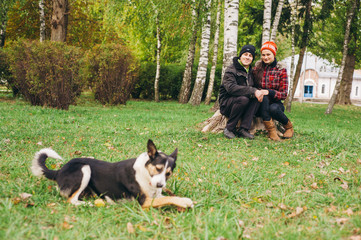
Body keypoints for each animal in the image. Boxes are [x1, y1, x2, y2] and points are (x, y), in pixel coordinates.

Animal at [30, 139, 193, 208]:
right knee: (71, 200)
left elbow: (168, 196)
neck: (146, 173)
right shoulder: (144, 201)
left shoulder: (156, 195)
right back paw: (90, 204)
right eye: (158, 168)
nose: (160, 184)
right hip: (85, 167)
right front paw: (185, 201)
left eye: (168, 173)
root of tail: (59, 171)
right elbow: (169, 199)